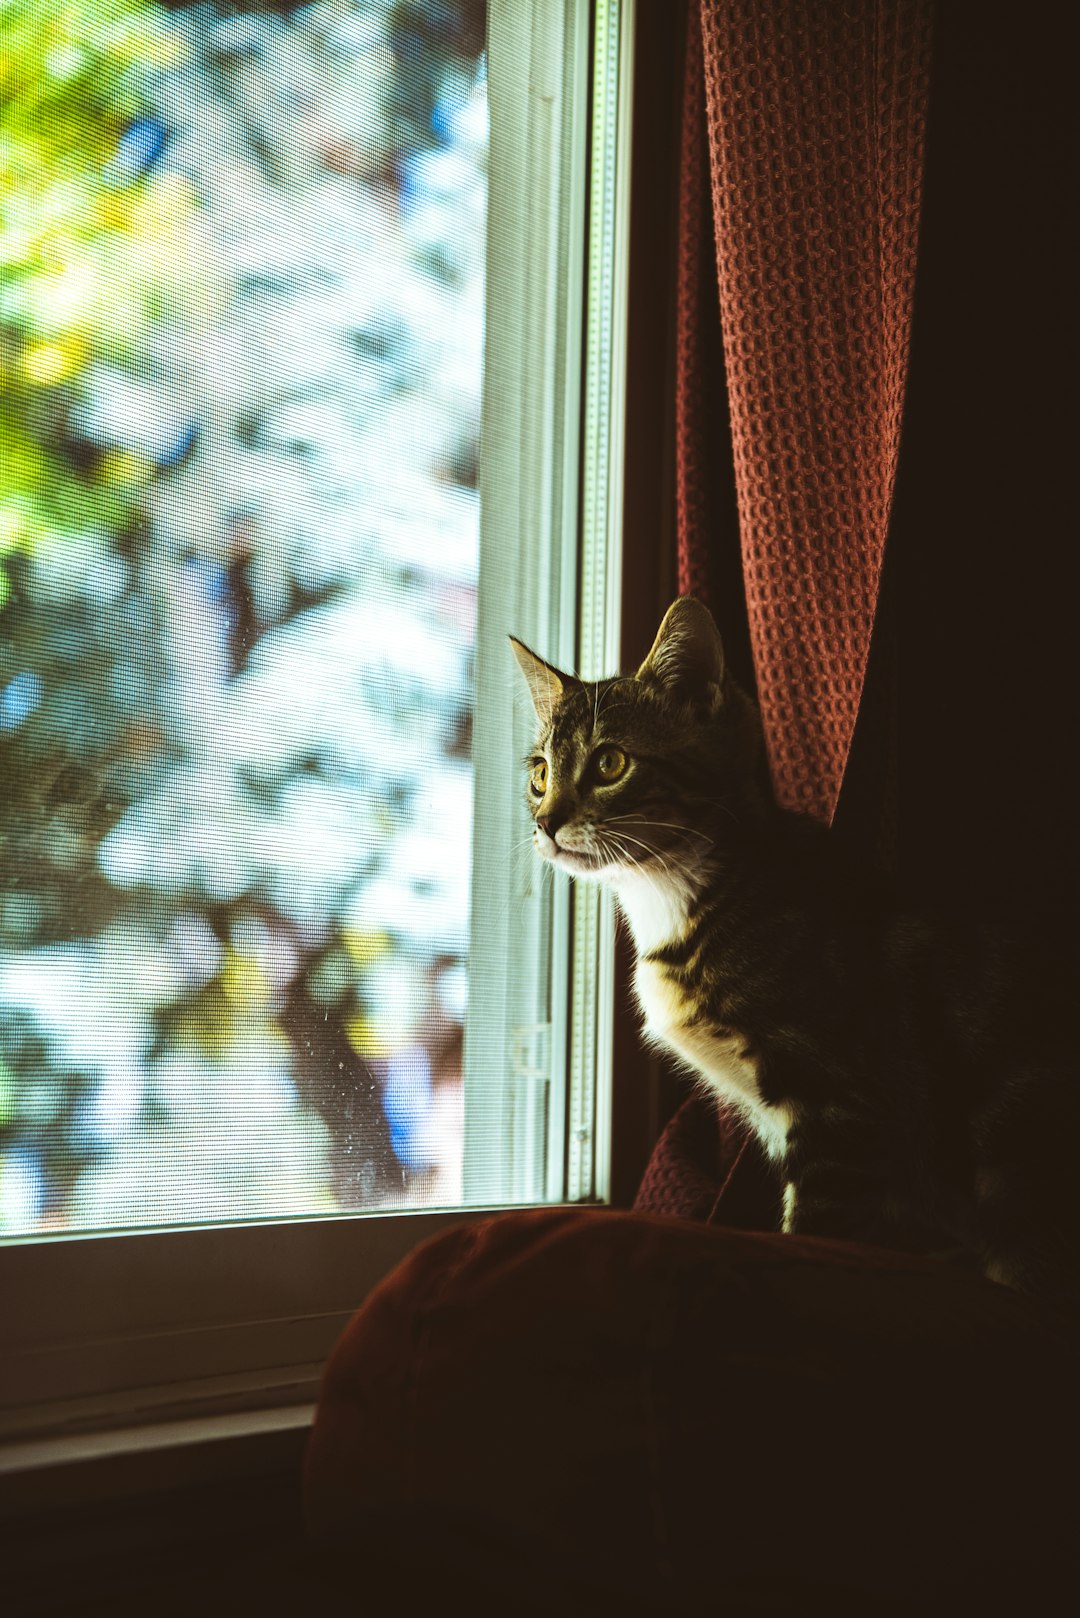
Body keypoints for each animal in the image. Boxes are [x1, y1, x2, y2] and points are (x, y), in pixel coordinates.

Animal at [514, 595, 1080, 1326]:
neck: (686, 894)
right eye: (539, 774)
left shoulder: (842, 1109)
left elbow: (817, 1234)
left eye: (610, 763)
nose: (545, 822)